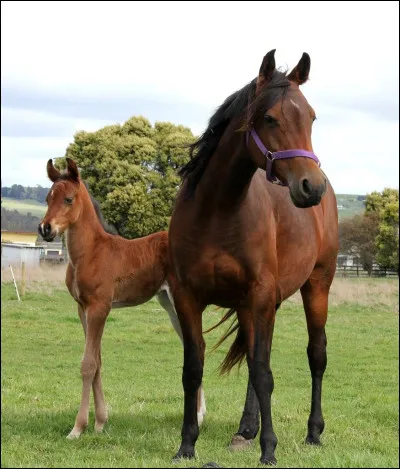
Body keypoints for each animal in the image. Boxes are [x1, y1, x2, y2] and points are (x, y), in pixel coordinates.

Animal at [38, 158, 206, 438]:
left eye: (68, 199)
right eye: (47, 198)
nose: (45, 228)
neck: (90, 252)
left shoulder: (99, 308)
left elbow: (88, 364)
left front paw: (78, 428)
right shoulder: (82, 309)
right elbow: (97, 361)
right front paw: (100, 422)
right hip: (170, 305)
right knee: (196, 346)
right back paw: (200, 414)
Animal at [167, 49, 340, 462]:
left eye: (311, 117)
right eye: (270, 118)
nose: (311, 187)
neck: (217, 212)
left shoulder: (260, 296)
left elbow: (264, 373)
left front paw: (269, 450)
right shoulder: (188, 296)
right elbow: (193, 369)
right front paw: (187, 444)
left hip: (317, 286)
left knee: (316, 355)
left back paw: (313, 432)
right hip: (255, 307)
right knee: (253, 356)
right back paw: (246, 428)